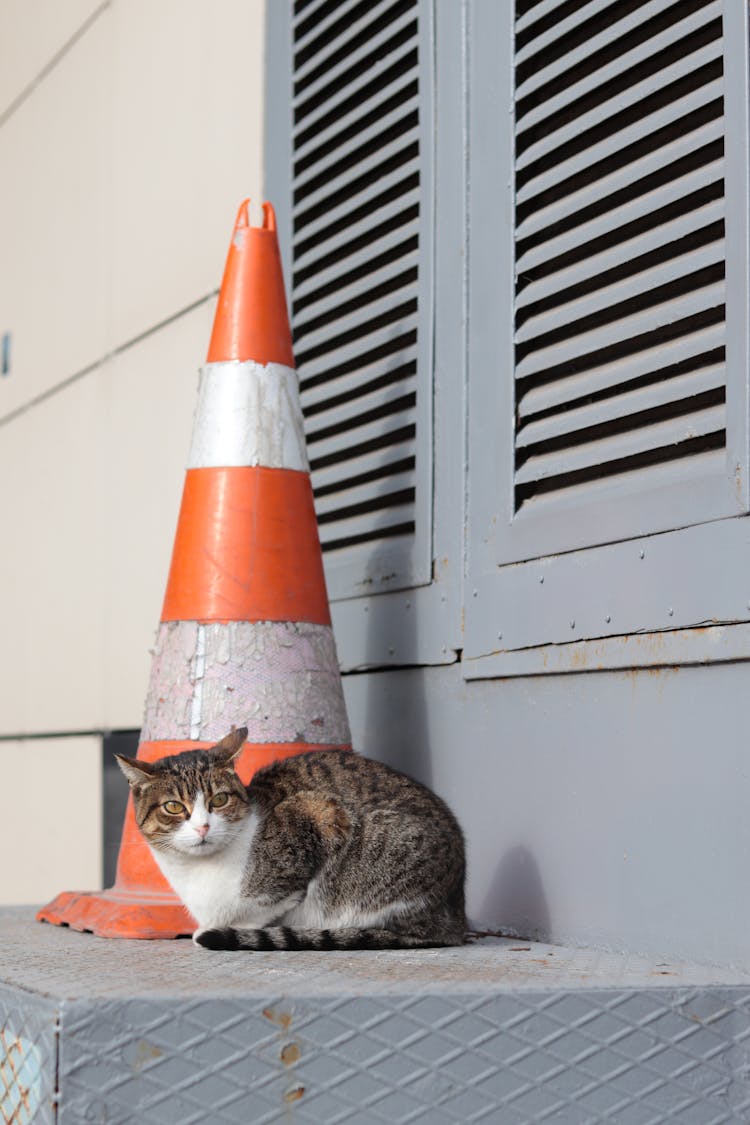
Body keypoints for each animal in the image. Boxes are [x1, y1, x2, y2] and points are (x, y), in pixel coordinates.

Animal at [115, 729, 465, 949]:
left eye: (219, 800)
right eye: (173, 806)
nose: (203, 827)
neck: (198, 872)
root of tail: (456, 916)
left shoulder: (317, 813)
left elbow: (262, 909)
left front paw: (225, 930)